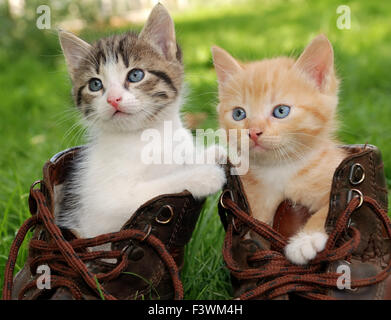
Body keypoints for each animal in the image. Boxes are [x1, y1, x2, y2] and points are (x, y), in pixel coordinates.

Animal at [56, 3, 225, 239]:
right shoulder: (106, 207)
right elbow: (157, 188)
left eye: (136, 75)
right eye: (95, 85)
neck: (148, 134)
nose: (113, 99)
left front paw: (210, 154)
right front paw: (204, 175)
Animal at [213, 35, 348, 264]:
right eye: (239, 114)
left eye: (281, 111)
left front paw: (306, 240)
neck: (279, 169)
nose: (253, 132)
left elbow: (331, 209)